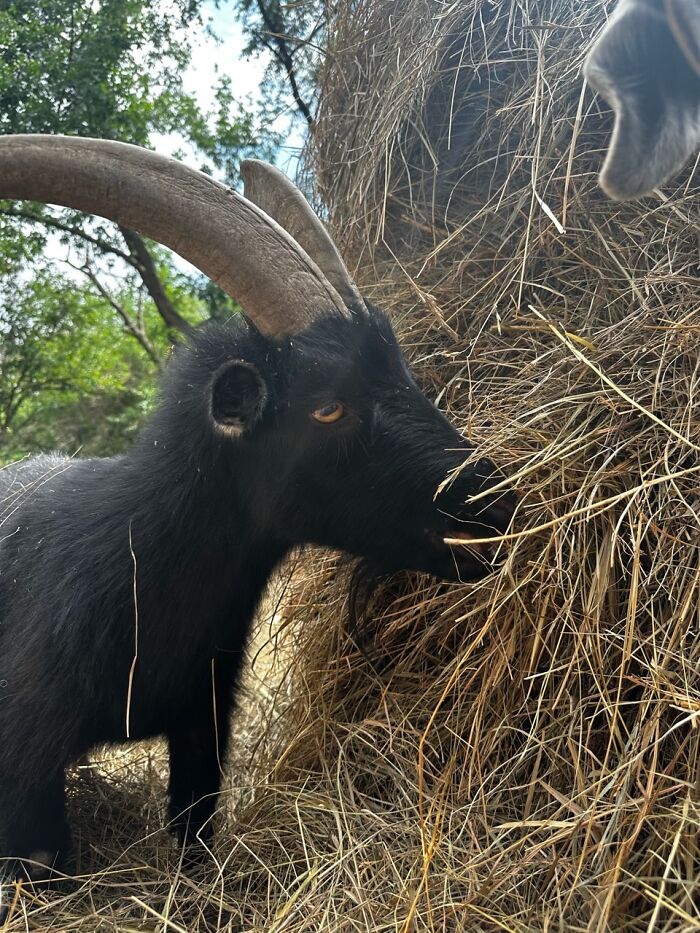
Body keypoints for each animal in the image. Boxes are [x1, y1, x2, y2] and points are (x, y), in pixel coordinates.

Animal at [0, 136, 516, 909]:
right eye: (328, 407)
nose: (497, 502)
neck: (136, 558)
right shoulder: (24, 757)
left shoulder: (204, 722)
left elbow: (196, 834)